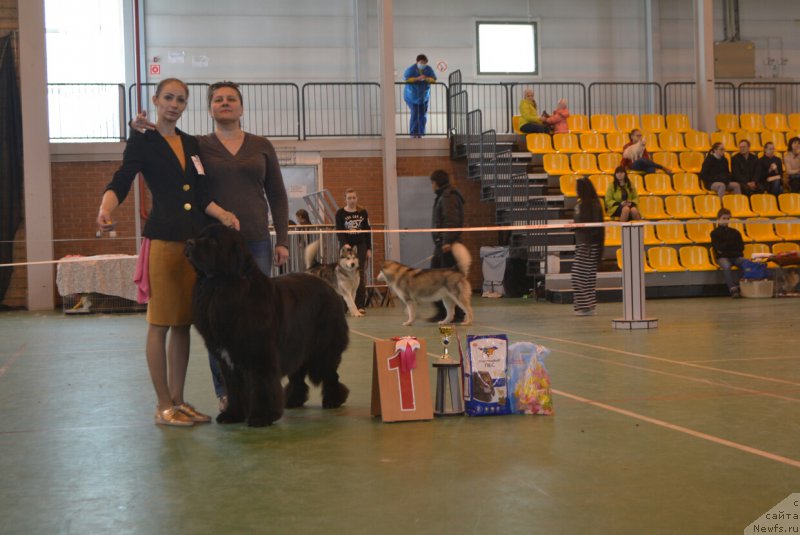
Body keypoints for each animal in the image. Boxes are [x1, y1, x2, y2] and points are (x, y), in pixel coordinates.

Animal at [189, 224, 352, 430]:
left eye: (212, 241)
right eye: (200, 235)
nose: (189, 242)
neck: (220, 289)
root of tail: (328, 287)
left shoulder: (261, 354)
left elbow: (262, 386)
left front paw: (261, 417)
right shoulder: (228, 361)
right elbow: (235, 389)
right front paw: (232, 414)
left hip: (323, 348)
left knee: (330, 374)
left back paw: (333, 400)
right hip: (297, 345)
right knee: (298, 375)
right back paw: (292, 400)